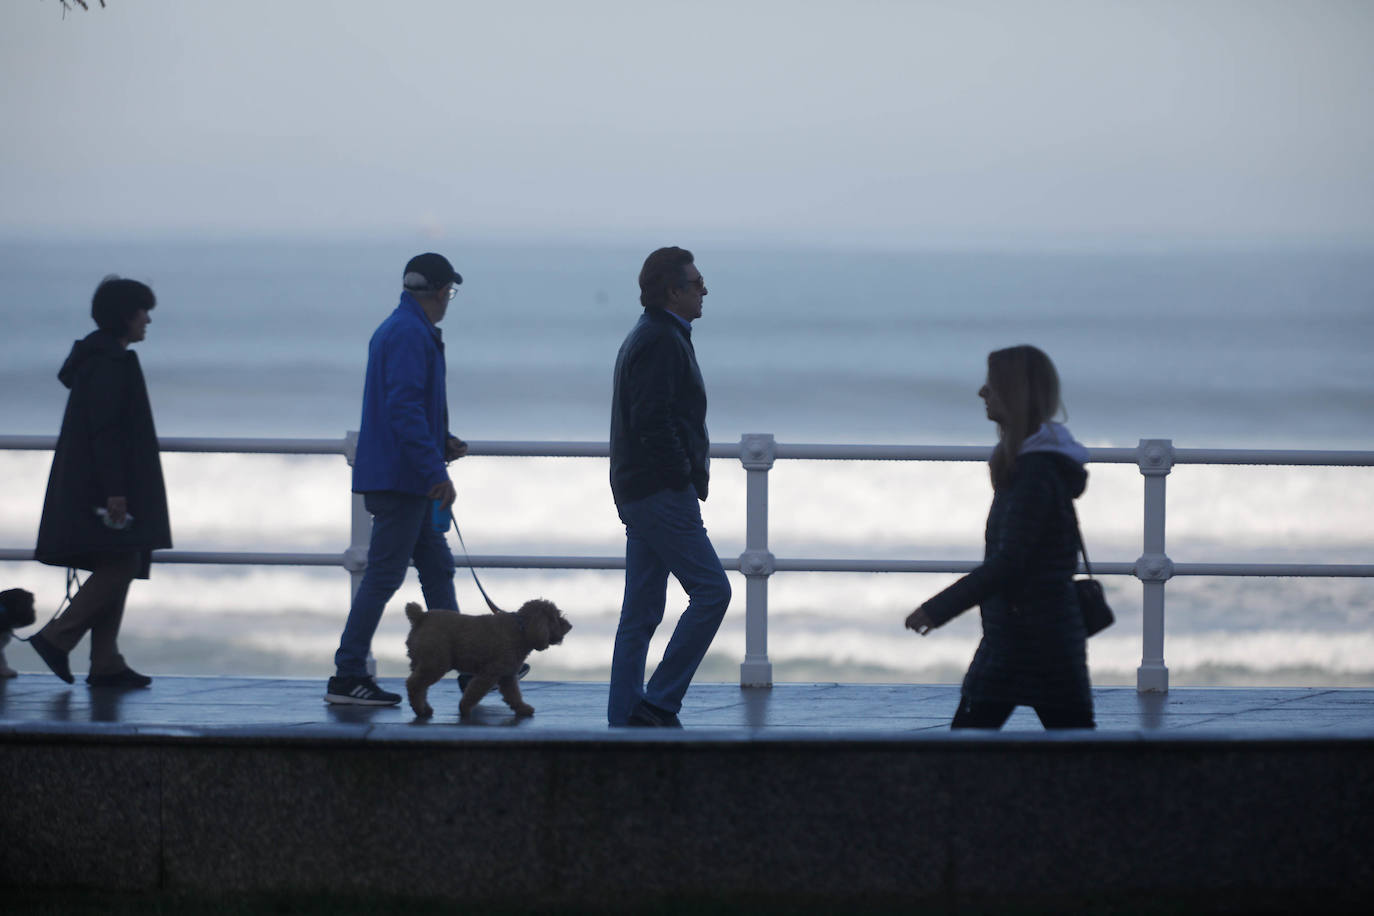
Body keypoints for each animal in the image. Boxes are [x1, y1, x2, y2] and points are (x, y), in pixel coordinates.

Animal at [401, 601, 568, 725]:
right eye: (556, 617)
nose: (569, 625)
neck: (521, 629)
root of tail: (420, 617)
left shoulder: (507, 676)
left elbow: (514, 695)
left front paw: (522, 708)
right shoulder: (489, 674)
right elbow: (473, 692)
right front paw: (464, 708)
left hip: (423, 663)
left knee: (420, 688)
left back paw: (424, 709)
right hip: (435, 664)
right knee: (414, 685)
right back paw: (420, 710)